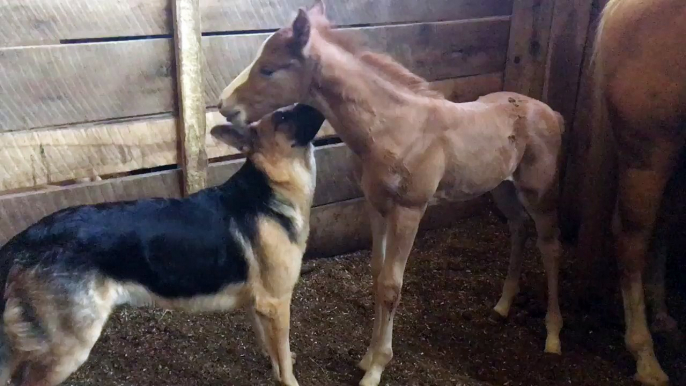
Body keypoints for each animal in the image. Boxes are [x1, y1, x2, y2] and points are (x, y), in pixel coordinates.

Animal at [0, 103, 326, 386]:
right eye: (282, 117)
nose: (314, 103)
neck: (270, 185)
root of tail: (26, 239)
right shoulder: (276, 303)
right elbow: (283, 359)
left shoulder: (259, 306)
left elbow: (272, 349)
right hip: (67, 349)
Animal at [218, 1, 568, 384]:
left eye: (268, 69)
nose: (223, 105)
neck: (395, 128)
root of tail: (552, 113)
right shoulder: (377, 205)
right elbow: (377, 273)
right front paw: (367, 357)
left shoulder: (409, 209)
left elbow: (391, 286)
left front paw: (376, 368)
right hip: (502, 187)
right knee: (518, 228)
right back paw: (503, 305)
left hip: (540, 193)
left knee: (550, 247)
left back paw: (553, 334)